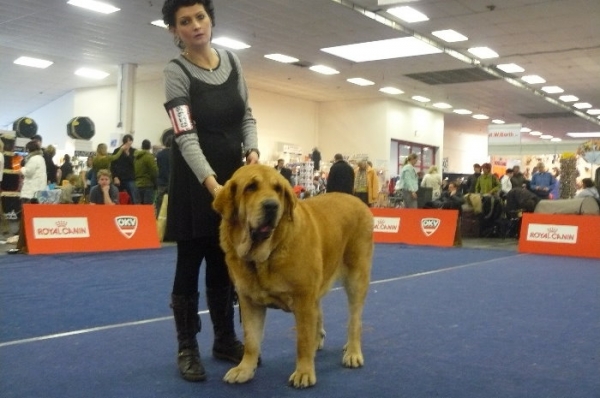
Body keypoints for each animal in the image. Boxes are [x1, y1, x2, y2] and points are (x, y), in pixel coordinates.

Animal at [213, 163, 372, 388]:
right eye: (250, 187)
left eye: (278, 189)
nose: (271, 206)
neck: (263, 256)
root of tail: (358, 200)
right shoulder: (249, 301)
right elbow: (251, 340)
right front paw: (244, 369)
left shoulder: (303, 298)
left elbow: (302, 340)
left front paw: (304, 372)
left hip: (356, 278)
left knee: (354, 320)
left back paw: (352, 352)